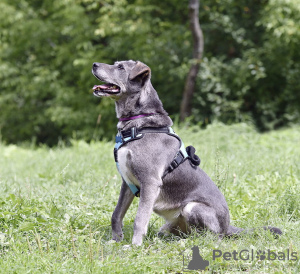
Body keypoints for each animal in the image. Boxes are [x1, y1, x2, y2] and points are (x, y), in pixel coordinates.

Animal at [91, 60, 282, 246]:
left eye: (120, 67)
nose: (94, 64)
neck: (138, 125)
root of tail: (227, 227)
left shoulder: (150, 182)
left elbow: (140, 219)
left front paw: (135, 246)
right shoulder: (127, 183)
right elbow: (116, 214)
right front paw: (115, 241)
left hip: (193, 207)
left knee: (211, 238)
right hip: (170, 225)